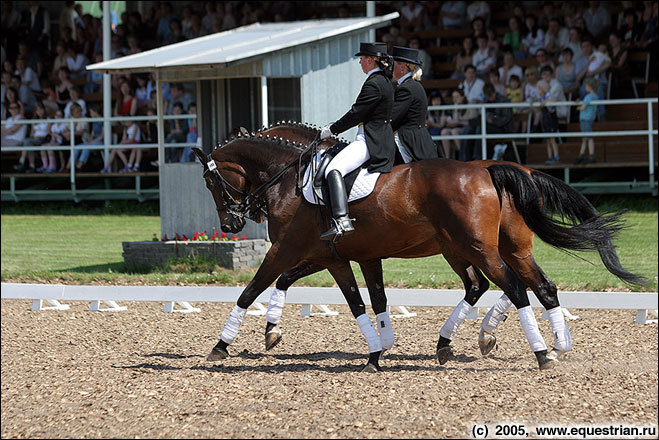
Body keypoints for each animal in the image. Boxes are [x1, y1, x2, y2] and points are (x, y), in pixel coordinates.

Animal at [189, 126, 644, 372]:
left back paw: (536, 352)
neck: (288, 178)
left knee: (511, 287)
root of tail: (491, 170)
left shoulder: (288, 249)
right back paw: (546, 344)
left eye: (211, 182)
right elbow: (362, 300)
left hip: (474, 247)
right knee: (535, 286)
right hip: (493, 247)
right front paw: (376, 351)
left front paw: (221, 346)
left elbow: (252, 288)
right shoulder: (336, 256)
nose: (231, 224)